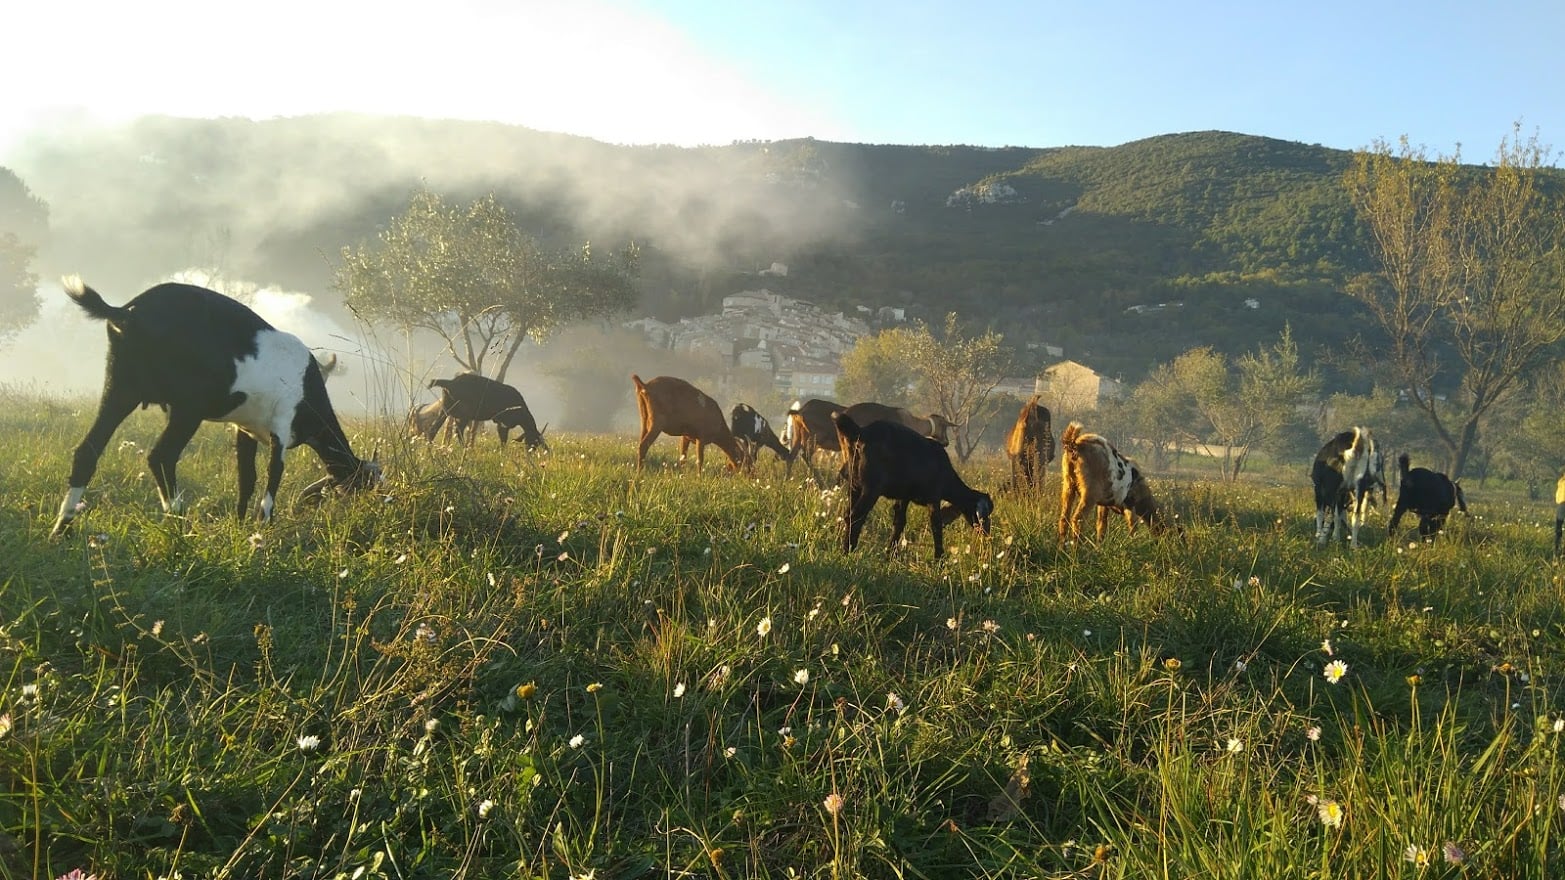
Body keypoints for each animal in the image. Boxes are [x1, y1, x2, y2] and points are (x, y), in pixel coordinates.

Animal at [52, 274, 381, 535]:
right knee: (161, 457)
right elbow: (272, 480)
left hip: (121, 388)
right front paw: (262, 531)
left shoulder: (245, 429)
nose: (366, 512)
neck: (310, 392)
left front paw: (239, 526)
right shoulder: (281, 427)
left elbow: (246, 479)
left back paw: (63, 529)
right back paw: (180, 525)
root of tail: (126, 312)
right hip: (187, 407)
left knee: (87, 450)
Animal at [832, 410, 989, 557]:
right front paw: (939, 558)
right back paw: (848, 551)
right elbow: (936, 524)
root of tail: (862, 432)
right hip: (871, 488)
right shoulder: (934, 497)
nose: (986, 534)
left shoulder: (904, 496)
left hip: (854, 485)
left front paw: (890, 554)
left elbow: (899, 522)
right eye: (983, 515)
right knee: (855, 516)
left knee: (848, 514)